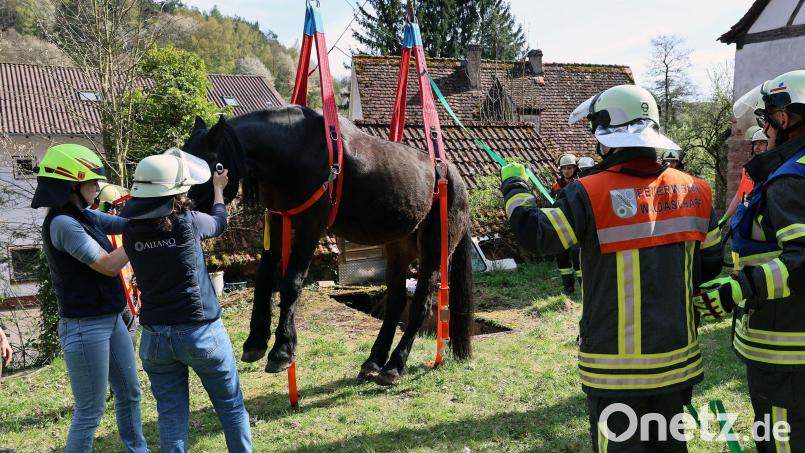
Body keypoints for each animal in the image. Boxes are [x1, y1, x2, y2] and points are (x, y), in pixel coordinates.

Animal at [183, 105, 474, 385]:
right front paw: (256, 340)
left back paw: (394, 365)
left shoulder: (311, 223)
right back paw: (374, 361)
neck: (294, 149)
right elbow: (264, 279)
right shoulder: (276, 218)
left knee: (421, 304)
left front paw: (282, 351)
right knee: (395, 302)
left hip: (434, 251)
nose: (182, 207)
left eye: (203, 167)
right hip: (398, 248)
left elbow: (291, 283)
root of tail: (452, 176)